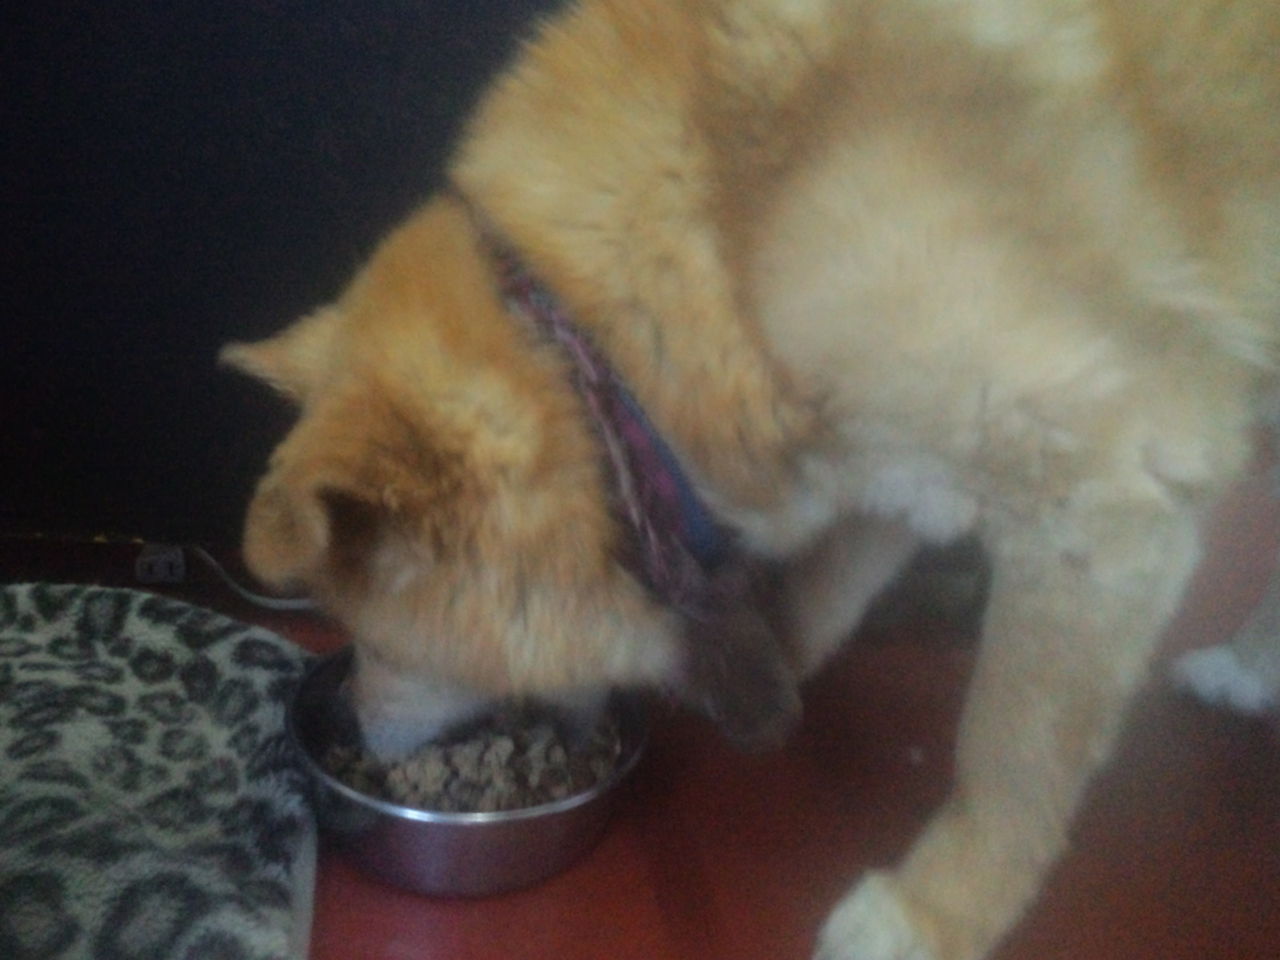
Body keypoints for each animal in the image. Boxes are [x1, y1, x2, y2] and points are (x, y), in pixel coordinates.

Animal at [223, 2, 1280, 958]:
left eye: (371, 636)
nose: (343, 722)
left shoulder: (1100, 508)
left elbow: (1009, 762)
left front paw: (929, 916)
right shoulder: (878, 451)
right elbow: (820, 595)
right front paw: (755, 666)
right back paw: (1248, 668)